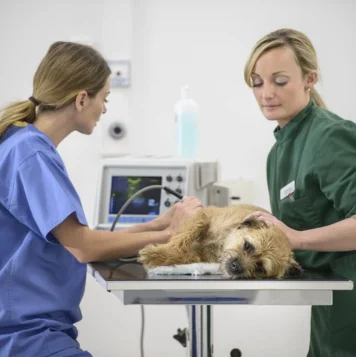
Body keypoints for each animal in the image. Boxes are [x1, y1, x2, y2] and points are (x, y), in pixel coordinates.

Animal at [138, 203, 302, 278]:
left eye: (260, 267)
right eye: (247, 246)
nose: (236, 267)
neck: (222, 243)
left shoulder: (201, 256)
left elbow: (185, 256)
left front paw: (158, 256)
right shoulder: (204, 215)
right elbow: (183, 237)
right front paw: (158, 252)